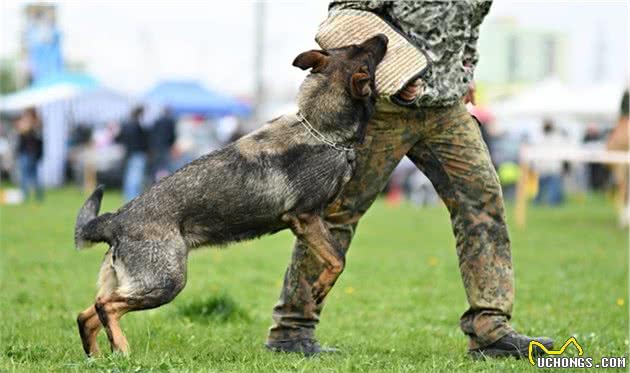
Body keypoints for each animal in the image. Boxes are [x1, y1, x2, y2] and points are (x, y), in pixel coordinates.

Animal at [75, 34, 390, 354]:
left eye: (355, 46)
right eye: (364, 54)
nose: (384, 36)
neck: (323, 131)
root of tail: (114, 220)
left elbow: (335, 255)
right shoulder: (306, 217)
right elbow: (338, 258)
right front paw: (321, 287)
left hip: (135, 283)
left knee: (87, 315)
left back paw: (99, 357)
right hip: (165, 282)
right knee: (105, 306)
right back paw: (122, 349)